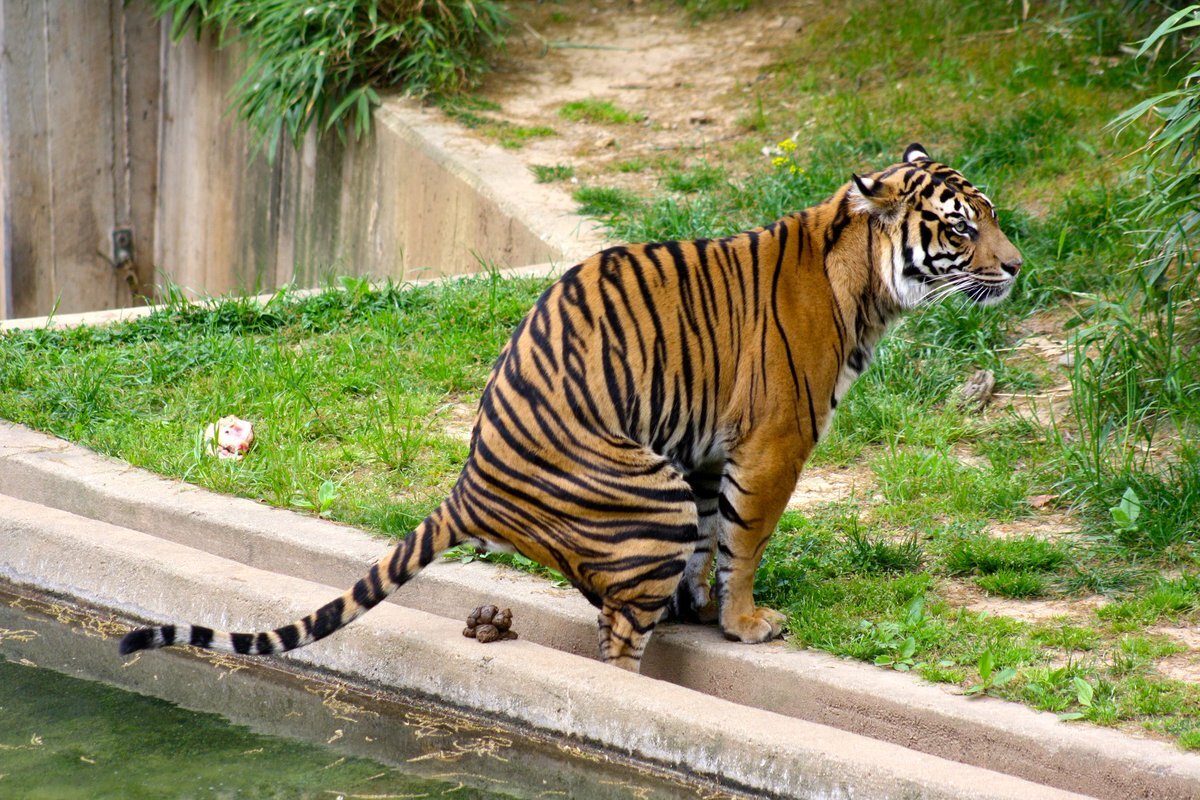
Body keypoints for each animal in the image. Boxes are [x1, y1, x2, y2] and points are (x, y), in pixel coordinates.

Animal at [121, 142, 1022, 671]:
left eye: (992, 216)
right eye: (959, 228)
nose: (1016, 266)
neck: (864, 282)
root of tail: (469, 481)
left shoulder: (705, 449)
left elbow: (714, 538)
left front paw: (706, 607)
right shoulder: (774, 444)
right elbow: (745, 541)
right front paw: (744, 622)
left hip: (657, 482)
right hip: (648, 496)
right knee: (616, 642)